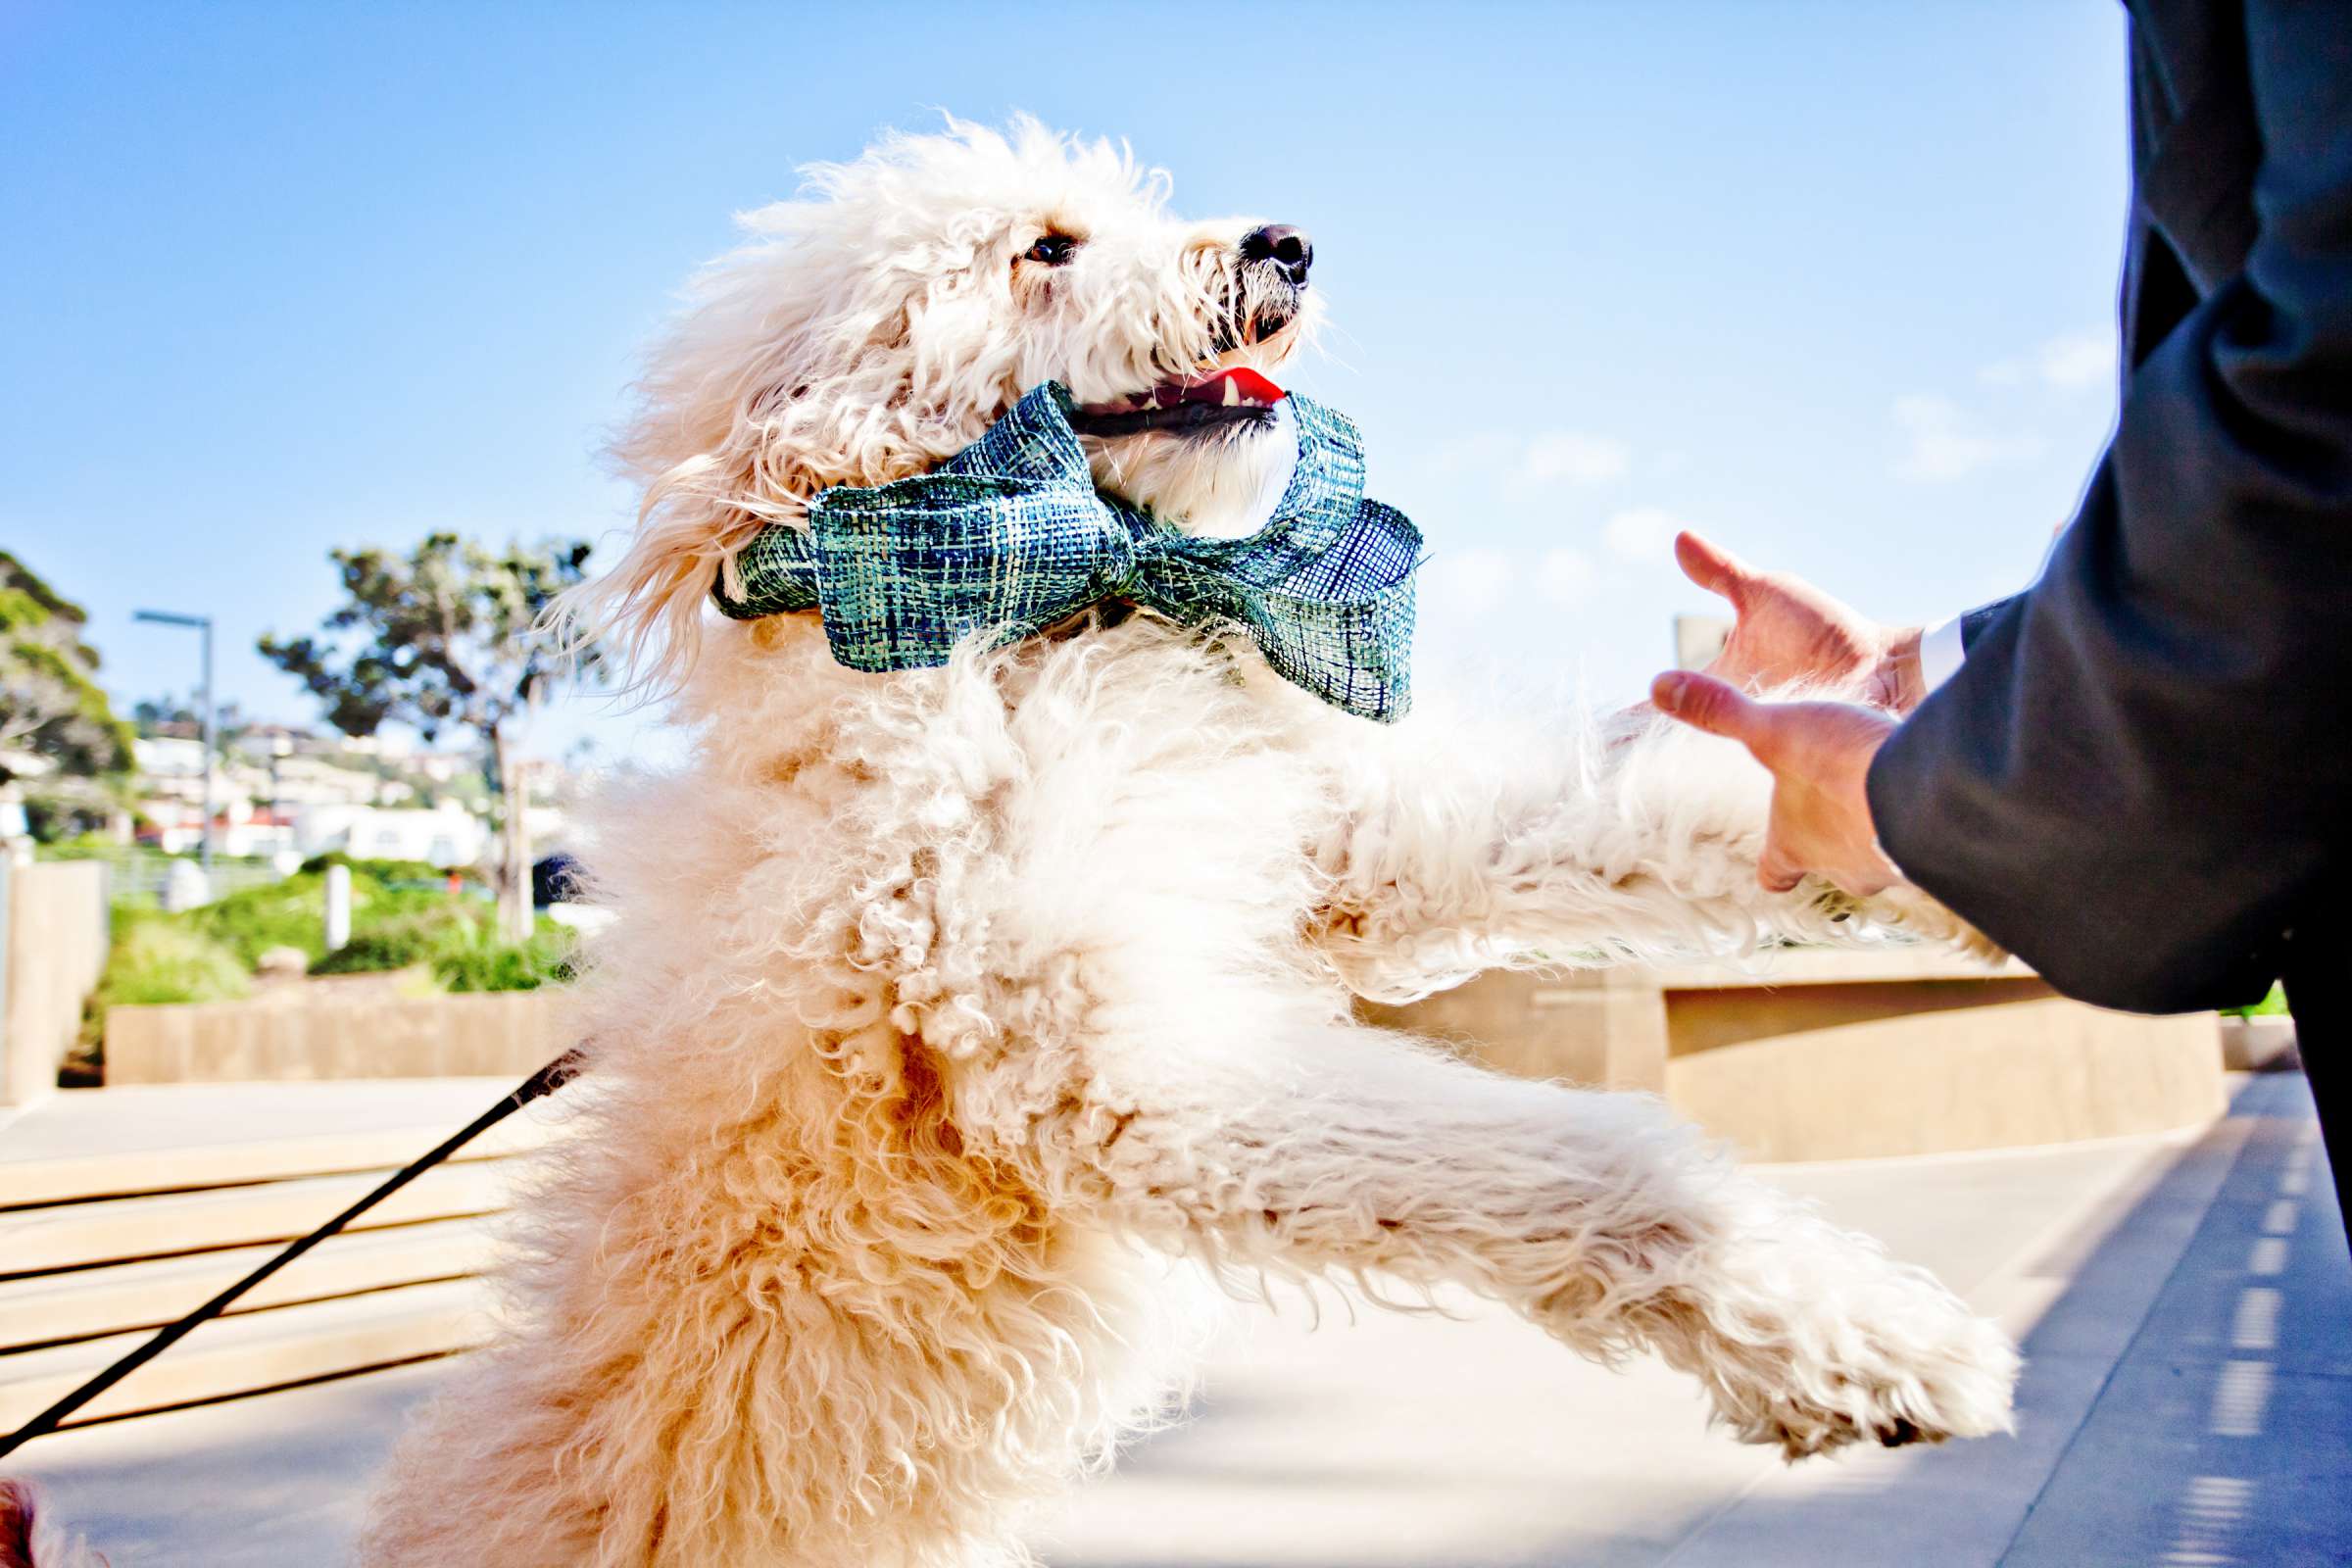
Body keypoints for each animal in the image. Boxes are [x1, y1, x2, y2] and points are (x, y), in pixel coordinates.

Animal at [357, 120, 2013, 1568]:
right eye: (1044, 249)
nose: (1291, 242)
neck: (1040, 616)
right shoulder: (1112, 1064)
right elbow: (1590, 1158)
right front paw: (1861, 1341)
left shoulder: (1335, 849)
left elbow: (1640, 808)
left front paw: (1919, 834)